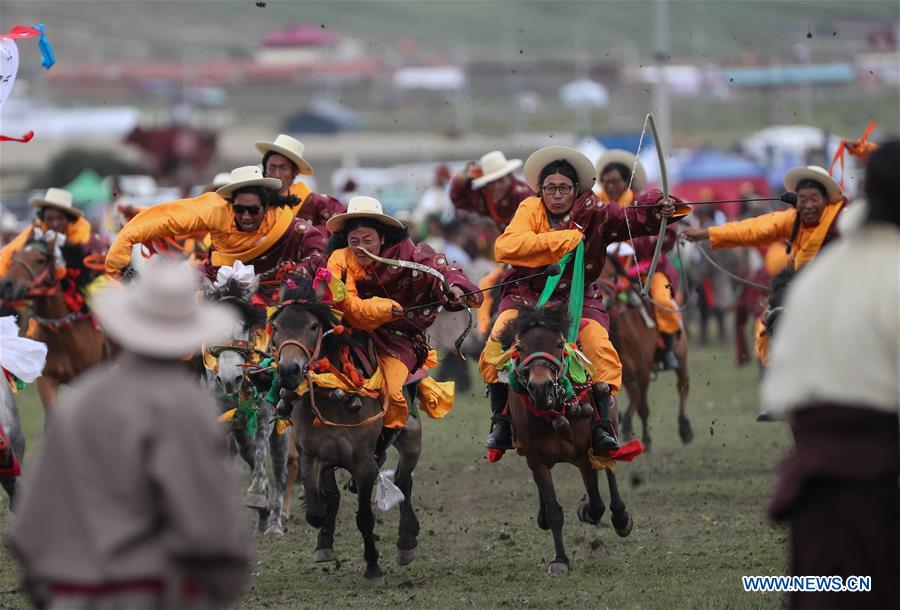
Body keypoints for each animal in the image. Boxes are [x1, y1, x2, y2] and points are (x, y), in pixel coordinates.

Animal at [202, 276, 290, 536]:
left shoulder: (265, 414)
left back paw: (274, 524)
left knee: (280, 469)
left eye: (244, 326)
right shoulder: (221, 417)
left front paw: (259, 496)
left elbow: (260, 450)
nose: (230, 378)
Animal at [272, 276, 424, 580]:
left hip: (411, 435)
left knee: (404, 479)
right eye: (277, 327)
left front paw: (373, 565)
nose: (288, 371)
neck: (332, 395)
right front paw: (323, 542)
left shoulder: (363, 460)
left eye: (313, 326)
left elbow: (364, 516)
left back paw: (406, 540)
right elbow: (317, 509)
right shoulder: (311, 455)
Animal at [500, 304, 632, 576]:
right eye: (520, 347)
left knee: (610, 468)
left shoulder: (583, 456)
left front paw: (589, 511)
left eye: (559, 344)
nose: (541, 388)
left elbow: (597, 503)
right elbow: (554, 510)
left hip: (609, 427)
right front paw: (560, 559)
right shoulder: (537, 460)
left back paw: (620, 517)